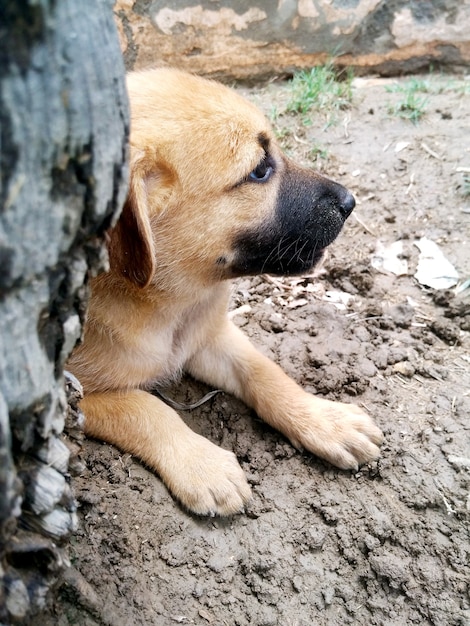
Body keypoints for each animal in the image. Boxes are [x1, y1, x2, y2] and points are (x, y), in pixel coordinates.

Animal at [68, 68, 384, 516]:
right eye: (259, 171)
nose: (349, 201)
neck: (170, 305)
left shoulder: (211, 335)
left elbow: (265, 371)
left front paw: (323, 419)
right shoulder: (70, 395)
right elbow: (143, 408)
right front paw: (202, 465)